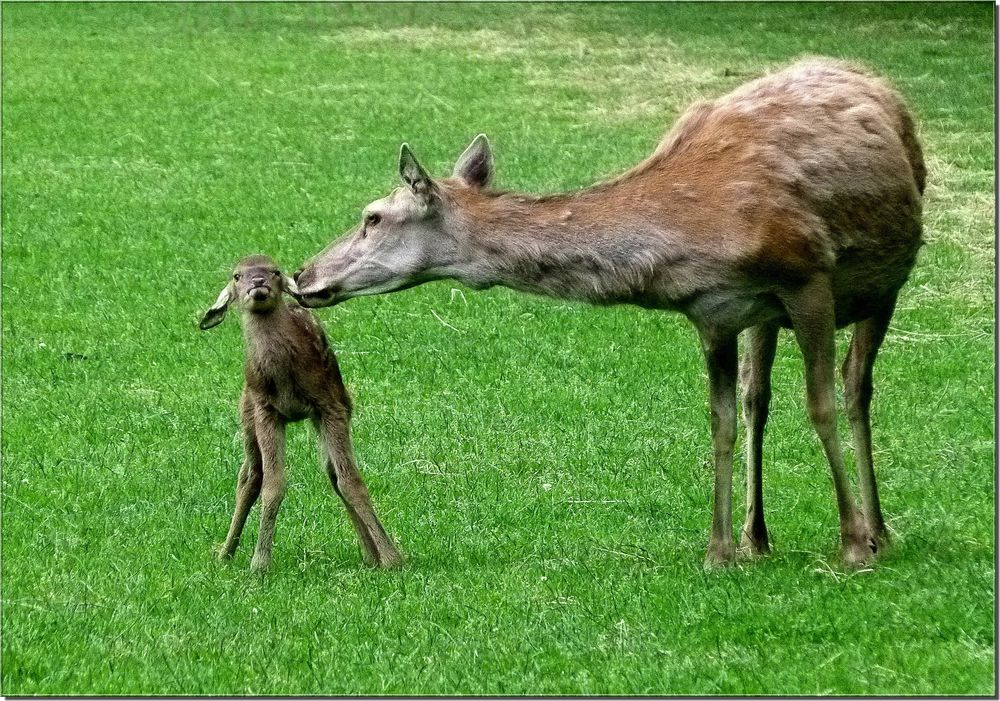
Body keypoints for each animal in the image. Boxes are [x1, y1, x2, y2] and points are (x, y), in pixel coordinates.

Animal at [292, 60, 924, 568]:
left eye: (372, 216)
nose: (302, 276)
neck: (703, 231)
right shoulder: (715, 313)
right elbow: (720, 421)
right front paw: (718, 551)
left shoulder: (808, 277)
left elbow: (819, 405)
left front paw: (851, 544)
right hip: (765, 321)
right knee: (757, 399)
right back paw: (758, 536)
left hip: (886, 283)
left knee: (855, 386)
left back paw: (879, 531)